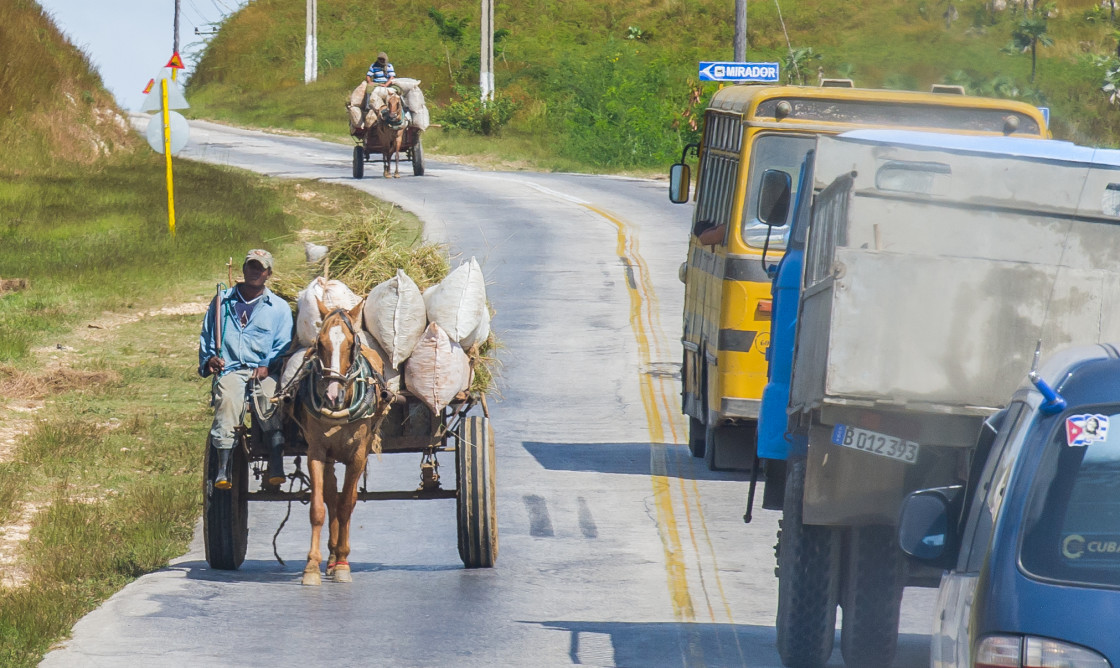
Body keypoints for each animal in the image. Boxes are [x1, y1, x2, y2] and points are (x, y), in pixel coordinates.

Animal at [293, 298, 394, 582]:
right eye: (319, 343)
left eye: (350, 344)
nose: (332, 395)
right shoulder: (316, 452)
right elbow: (319, 508)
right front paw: (312, 567)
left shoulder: (357, 455)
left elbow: (347, 505)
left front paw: (342, 564)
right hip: (329, 457)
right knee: (330, 496)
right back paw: (329, 557)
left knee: (344, 500)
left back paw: (337, 557)